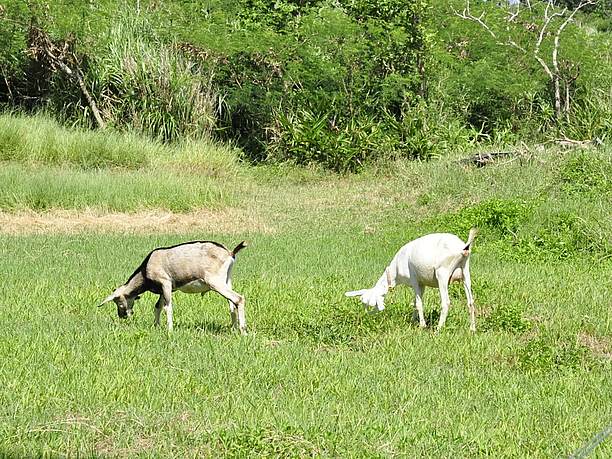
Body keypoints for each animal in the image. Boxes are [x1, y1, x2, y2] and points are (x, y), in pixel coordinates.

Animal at [98, 241, 246, 334]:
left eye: (118, 301)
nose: (122, 315)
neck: (146, 268)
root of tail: (229, 253)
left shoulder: (166, 284)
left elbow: (167, 307)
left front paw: (169, 330)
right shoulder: (163, 290)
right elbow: (157, 307)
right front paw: (156, 326)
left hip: (215, 282)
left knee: (238, 299)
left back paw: (243, 331)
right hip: (226, 281)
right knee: (231, 304)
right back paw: (233, 329)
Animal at [346, 229, 476, 330]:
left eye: (370, 305)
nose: (366, 317)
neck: (395, 271)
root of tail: (463, 248)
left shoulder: (415, 281)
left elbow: (418, 303)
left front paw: (422, 325)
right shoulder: (422, 283)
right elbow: (415, 303)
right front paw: (413, 321)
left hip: (442, 274)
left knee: (446, 302)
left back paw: (438, 329)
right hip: (465, 273)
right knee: (470, 302)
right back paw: (472, 329)